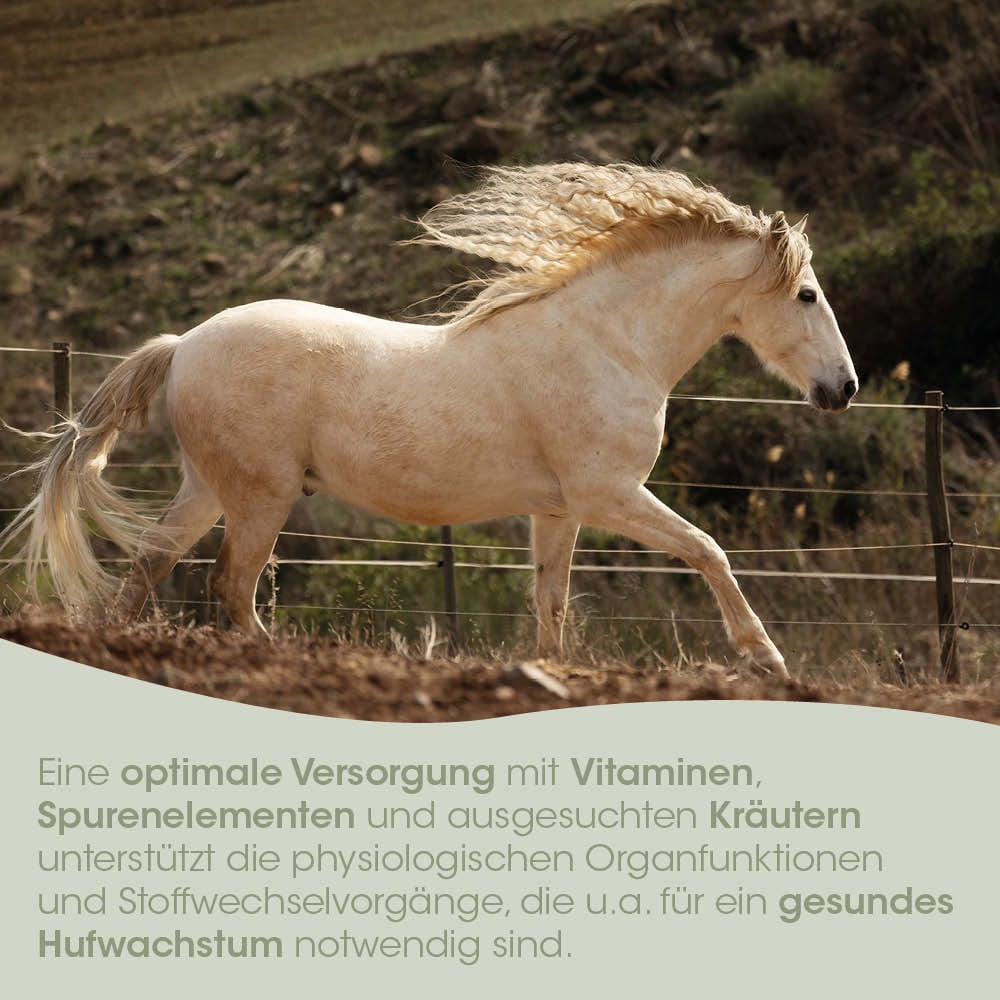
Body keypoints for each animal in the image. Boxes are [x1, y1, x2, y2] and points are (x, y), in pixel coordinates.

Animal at [0, 163, 857, 677]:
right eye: (808, 294)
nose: (843, 388)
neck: (609, 342)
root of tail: (181, 347)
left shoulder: (560, 508)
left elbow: (550, 600)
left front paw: (546, 672)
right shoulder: (610, 494)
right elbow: (709, 550)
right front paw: (767, 660)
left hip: (210, 488)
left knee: (152, 562)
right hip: (260, 496)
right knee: (230, 585)